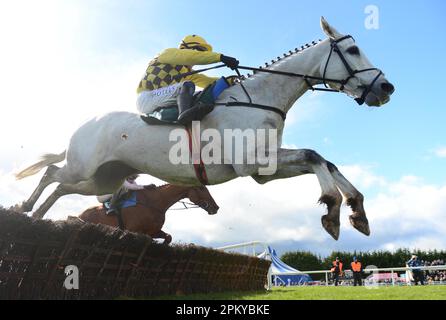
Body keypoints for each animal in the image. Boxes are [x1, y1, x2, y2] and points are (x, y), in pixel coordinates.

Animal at [80, 184, 221, 244]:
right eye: (201, 188)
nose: (216, 207)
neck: (153, 203)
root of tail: (80, 215)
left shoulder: (153, 231)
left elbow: (168, 237)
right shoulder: (134, 231)